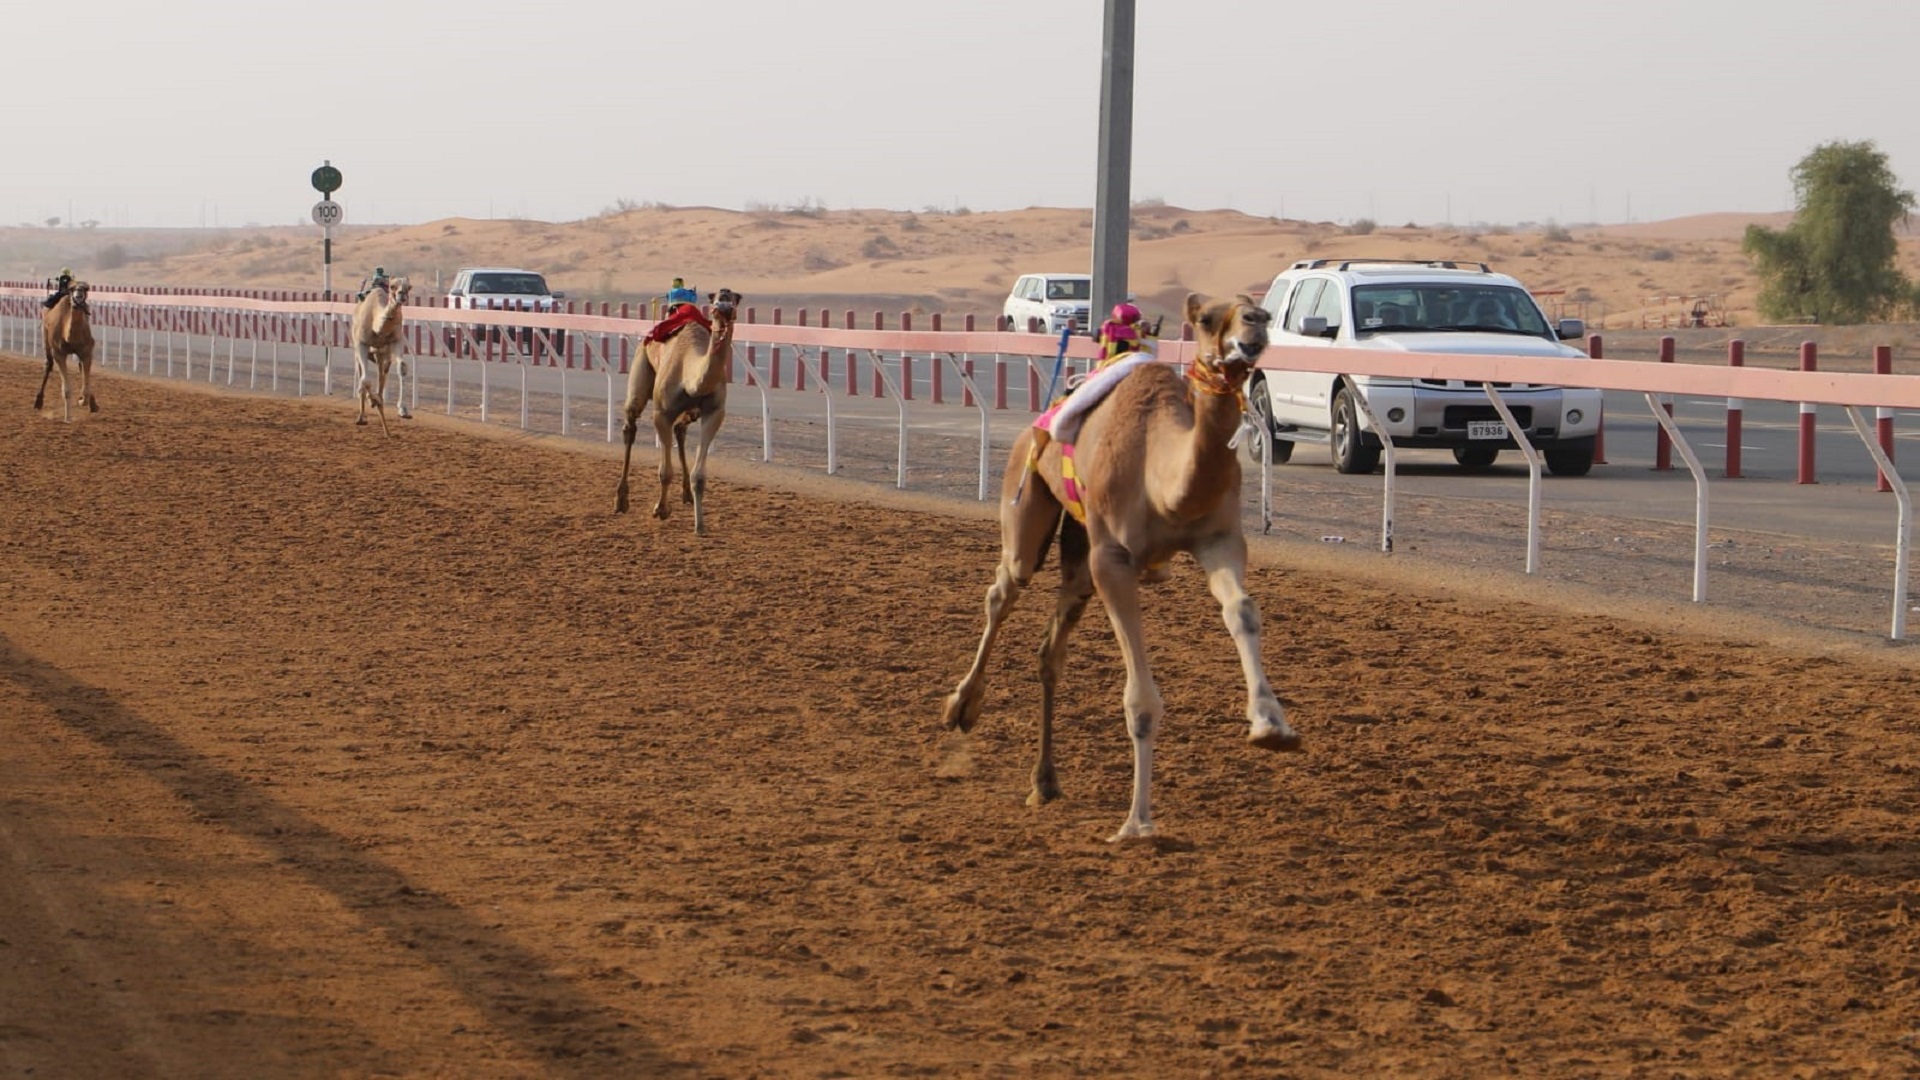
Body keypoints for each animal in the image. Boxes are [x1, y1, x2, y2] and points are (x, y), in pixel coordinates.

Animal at [35, 276, 97, 420]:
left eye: (86, 289)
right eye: (72, 289)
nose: (78, 296)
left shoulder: (87, 351)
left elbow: (86, 389)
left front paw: (83, 401)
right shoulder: (59, 353)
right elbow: (66, 390)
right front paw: (68, 418)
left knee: (80, 367)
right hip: (45, 335)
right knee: (48, 364)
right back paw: (38, 402)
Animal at [353, 274, 412, 434]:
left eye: (409, 287)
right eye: (392, 286)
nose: (402, 295)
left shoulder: (396, 342)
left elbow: (402, 368)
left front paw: (403, 409)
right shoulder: (361, 344)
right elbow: (365, 380)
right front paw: (372, 400)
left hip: (383, 356)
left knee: (381, 377)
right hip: (357, 352)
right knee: (362, 377)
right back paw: (362, 416)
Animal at [614, 288, 741, 534]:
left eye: (734, 302)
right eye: (715, 304)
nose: (724, 303)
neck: (690, 374)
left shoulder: (714, 412)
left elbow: (699, 476)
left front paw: (700, 527)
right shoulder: (661, 413)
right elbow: (665, 472)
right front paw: (661, 510)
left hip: (692, 412)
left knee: (680, 430)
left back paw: (687, 496)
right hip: (640, 366)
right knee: (630, 425)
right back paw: (621, 501)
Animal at [936, 290, 1297, 837]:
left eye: (1264, 312)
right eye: (1207, 319)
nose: (1254, 324)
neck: (1162, 477)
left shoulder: (1219, 540)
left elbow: (1242, 611)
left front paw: (1270, 724)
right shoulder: (1113, 560)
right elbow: (1139, 698)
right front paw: (1137, 823)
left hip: (1079, 555)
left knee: (1050, 651)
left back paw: (1044, 782)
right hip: (1028, 501)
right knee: (1005, 588)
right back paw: (961, 707)